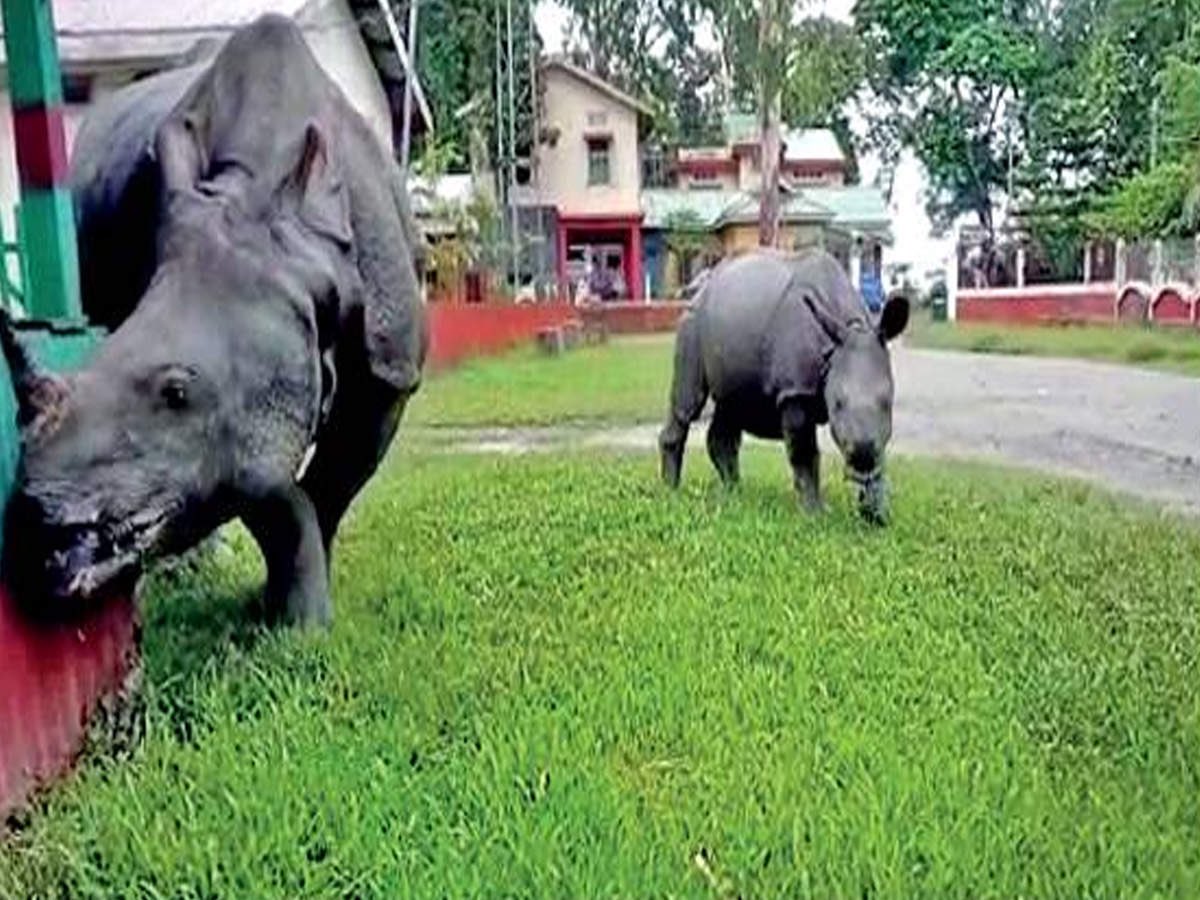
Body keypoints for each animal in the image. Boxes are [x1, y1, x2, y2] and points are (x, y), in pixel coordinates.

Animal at [0, 15, 427, 627]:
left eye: (177, 393)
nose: (37, 517)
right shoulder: (238, 434)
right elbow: (267, 497)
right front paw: (286, 611)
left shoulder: (389, 368)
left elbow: (328, 488)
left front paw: (299, 617)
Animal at [659, 250, 909, 523]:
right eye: (837, 404)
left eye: (887, 401)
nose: (861, 455)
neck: (852, 327)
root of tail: (701, 286)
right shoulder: (795, 390)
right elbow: (804, 453)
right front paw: (814, 515)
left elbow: (880, 455)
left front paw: (877, 516)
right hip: (692, 320)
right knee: (688, 404)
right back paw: (672, 491)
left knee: (730, 407)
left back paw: (734, 493)